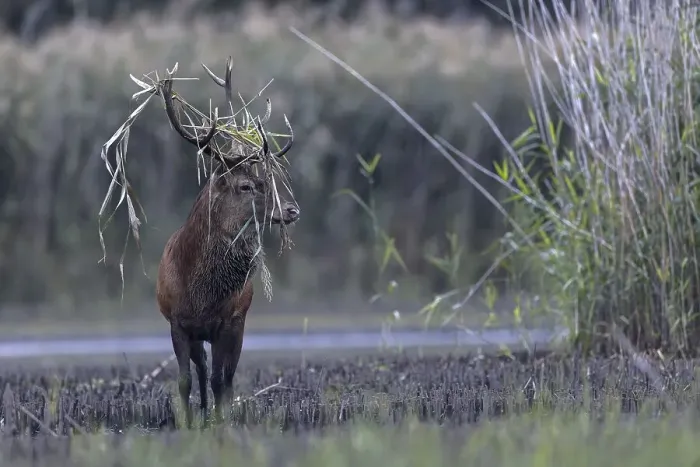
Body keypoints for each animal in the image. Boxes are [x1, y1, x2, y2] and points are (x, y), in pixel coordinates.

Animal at [155, 58, 300, 428]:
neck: (201, 294)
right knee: (202, 370)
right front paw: (189, 423)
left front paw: (220, 424)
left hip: (238, 324)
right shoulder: (177, 322)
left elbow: (222, 379)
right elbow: (185, 379)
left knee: (225, 376)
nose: (292, 209)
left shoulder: (229, 321)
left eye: (269, 179)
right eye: (246, 186)